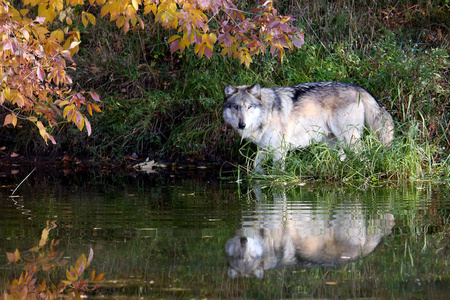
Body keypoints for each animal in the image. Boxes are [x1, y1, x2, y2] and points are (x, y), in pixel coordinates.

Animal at [222, 81, 394, 171]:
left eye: (249, 107)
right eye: (236, 107)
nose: (242, 124)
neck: (267, 113)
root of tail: (357, 87)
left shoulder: (279, 151)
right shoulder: (263, 149)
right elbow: (256, 168)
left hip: (349, 139)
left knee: (364, 155)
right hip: (333, 143)